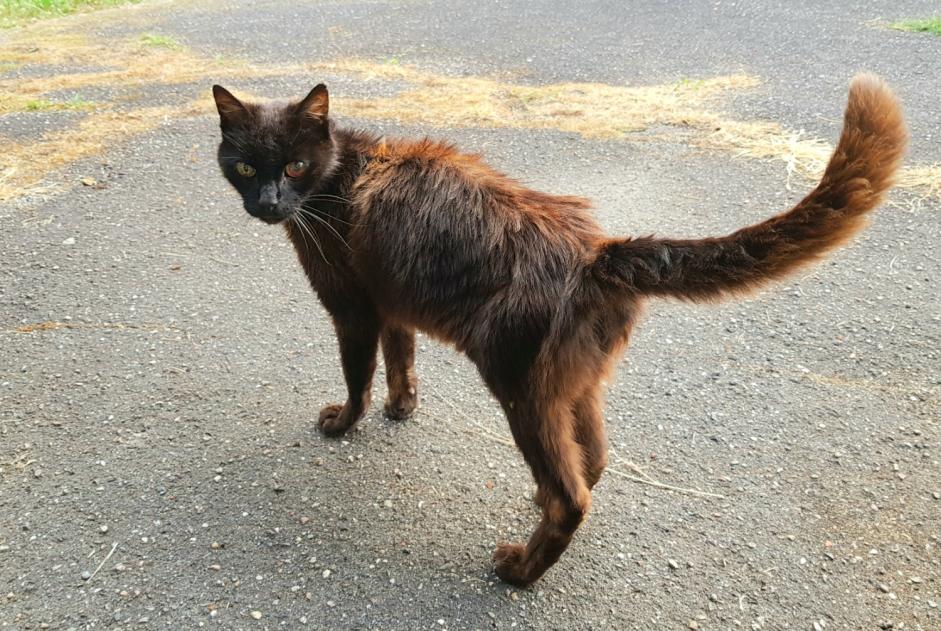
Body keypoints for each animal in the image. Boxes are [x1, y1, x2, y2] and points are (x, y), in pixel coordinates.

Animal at [211, 75, 904, 588]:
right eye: (244, 167)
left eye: (294, 166)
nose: (267, 203)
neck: (339, 175)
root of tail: (598, 254)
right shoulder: (394, 307)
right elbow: (402, 361)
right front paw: (402, 408)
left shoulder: (352, 309)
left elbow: (358, 375)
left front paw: (343, 422)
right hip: (574, 384)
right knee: (591, 460)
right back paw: (536, 508)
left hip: (521, 388)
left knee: (572, 494)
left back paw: (519, 569)